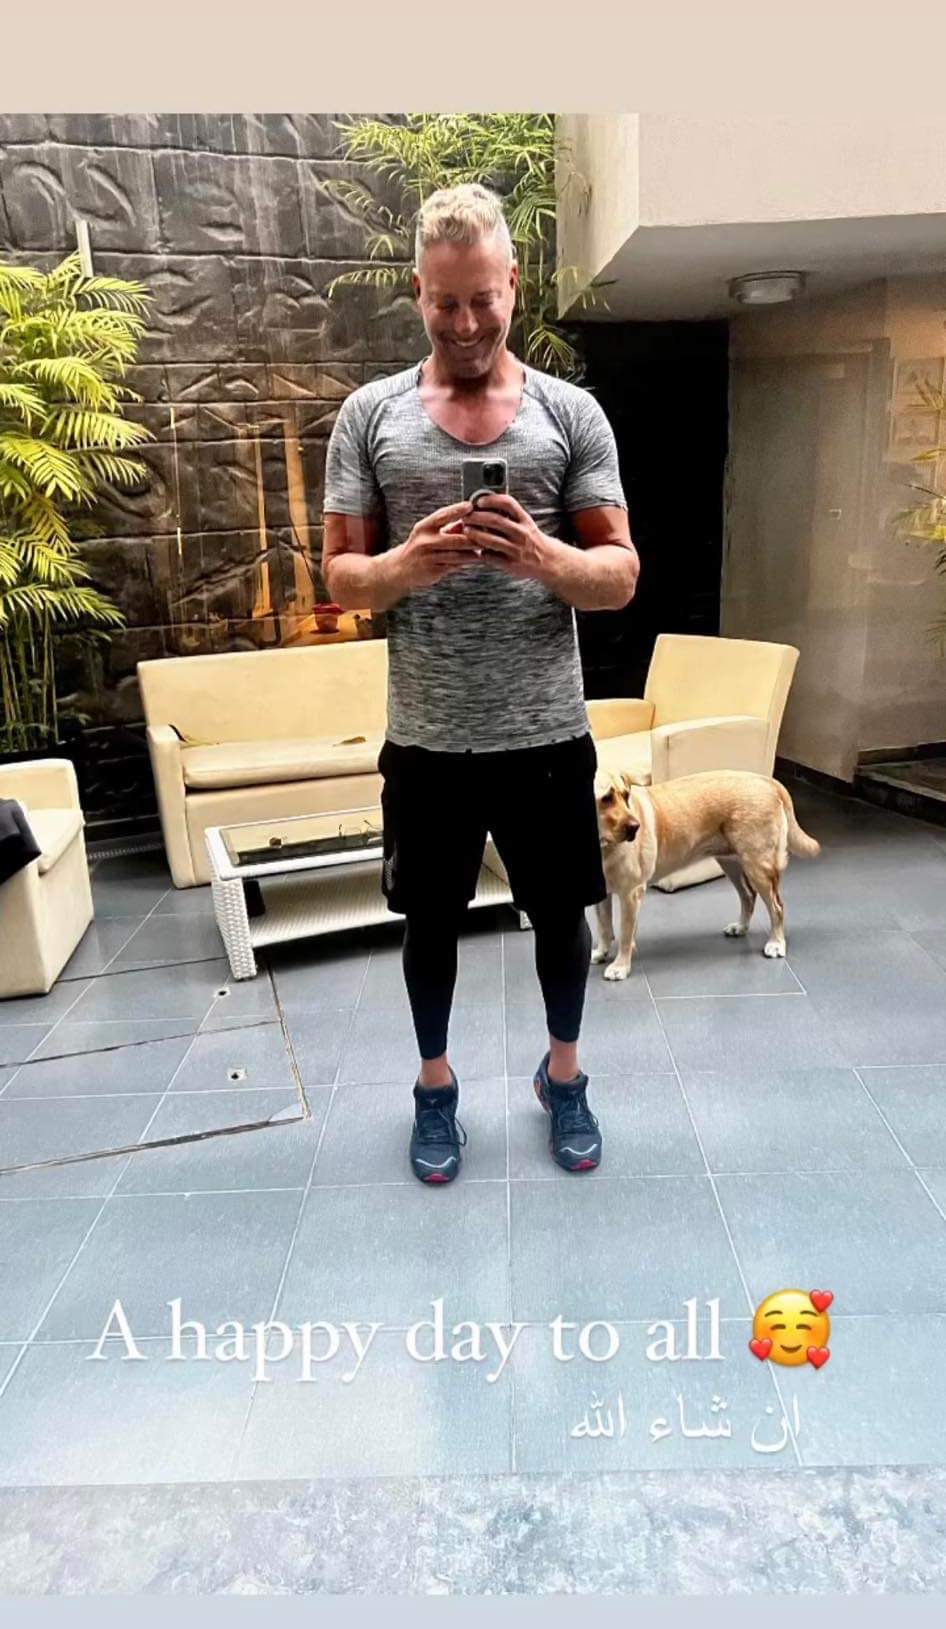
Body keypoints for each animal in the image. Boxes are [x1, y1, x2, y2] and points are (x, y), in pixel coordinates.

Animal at [591, 768, 821, 980]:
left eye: (625, 796)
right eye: (606, 798)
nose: (635, 827)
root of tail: (767, 780)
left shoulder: (631, 894)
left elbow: (624, 934)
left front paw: (620, 966)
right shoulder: (602, 894)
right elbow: (603, 926)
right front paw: (601, 952)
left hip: (758, 866)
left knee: (776, 907)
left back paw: (776, 943)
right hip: (731, 863)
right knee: (748, 896)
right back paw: (740, 927)